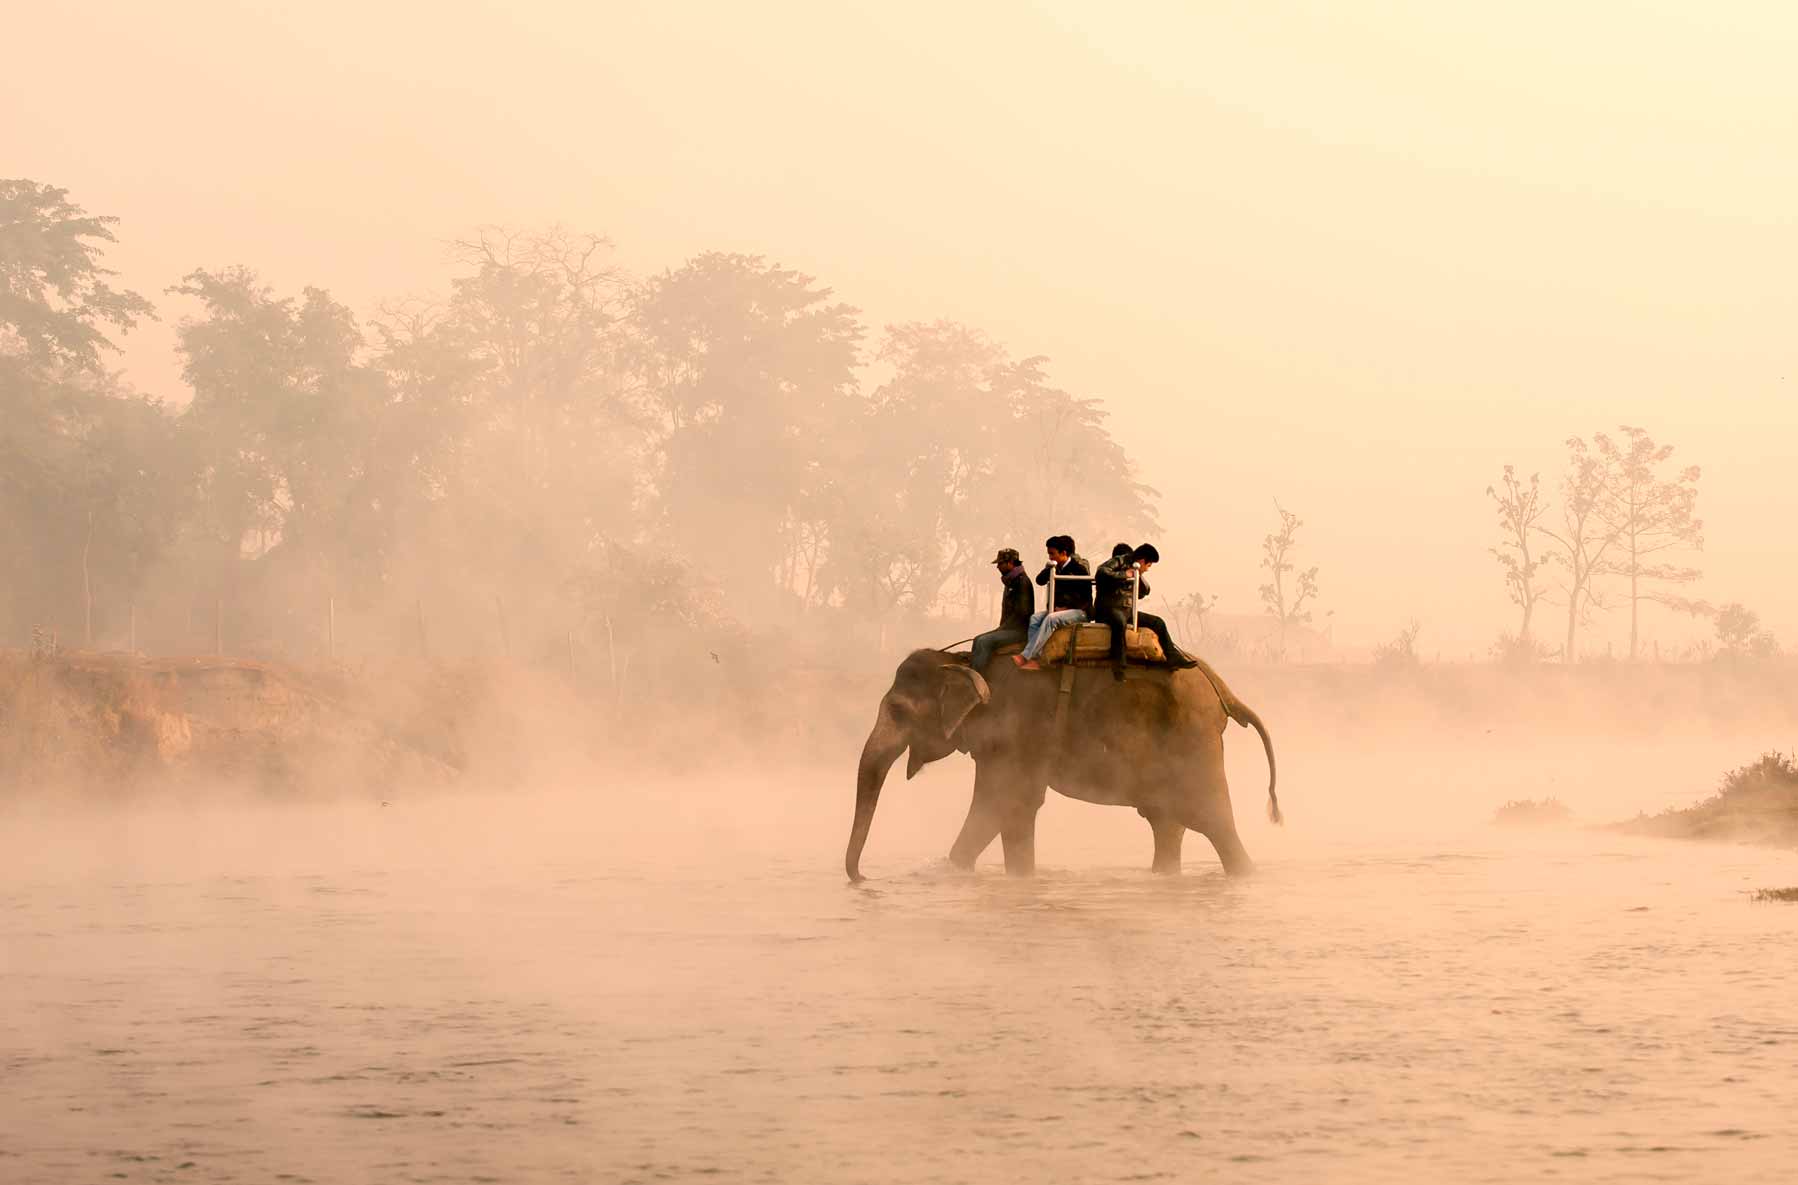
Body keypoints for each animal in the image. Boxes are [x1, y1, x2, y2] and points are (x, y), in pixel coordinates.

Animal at [845, 647, 1280, 881]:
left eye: (898, 711)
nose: (864, 876)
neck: (962, 659)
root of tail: (1224, 691)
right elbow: (1015, 810)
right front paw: (1021, 880)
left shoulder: (1016, 725)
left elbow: (1001, 804)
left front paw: (947, 873)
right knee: (1167, 823)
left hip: (1192, 742)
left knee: (1214, 823)